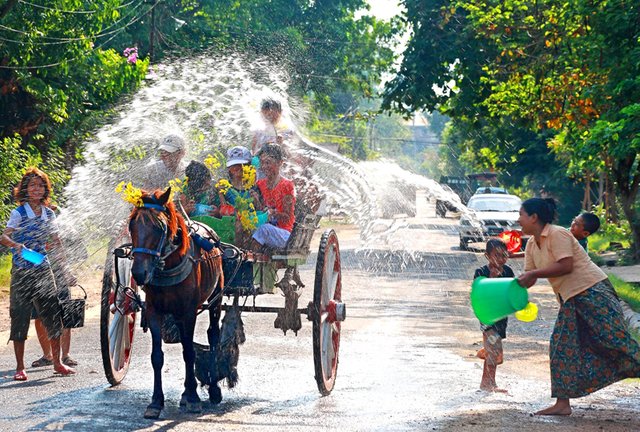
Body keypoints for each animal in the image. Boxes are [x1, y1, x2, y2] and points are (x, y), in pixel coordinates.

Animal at [126, 189, 224, 418]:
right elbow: (157, 357)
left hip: (216, 297)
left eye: (159, 227)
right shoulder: (154, 311)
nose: (138, 273)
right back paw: (185, 394)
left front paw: (194, 398)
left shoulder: (188, 313)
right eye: (131, 225)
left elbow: (189, 353)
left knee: (213, 335)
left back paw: (213, 389)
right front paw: (156, 401)